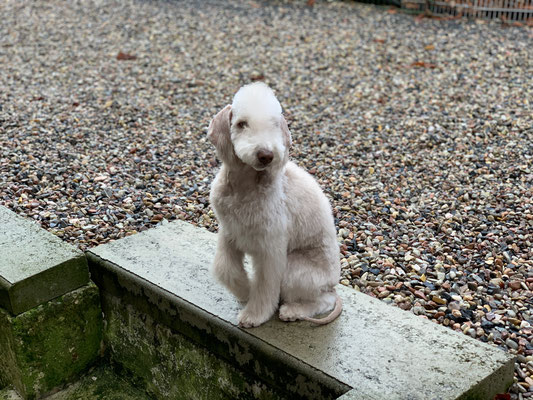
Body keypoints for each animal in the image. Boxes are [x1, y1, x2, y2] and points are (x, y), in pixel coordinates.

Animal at [208, 82, 340, 328]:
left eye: (274, 124)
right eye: (241, 124)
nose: (266, 155)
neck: (245, 187)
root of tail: (333, 283)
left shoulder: (271, 248)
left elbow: (265, 284)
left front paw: (254, 314)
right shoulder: (229, 231)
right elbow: (224, 268)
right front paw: (244, 290)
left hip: (295, 270)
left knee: (323, 300)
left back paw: (292, 311)